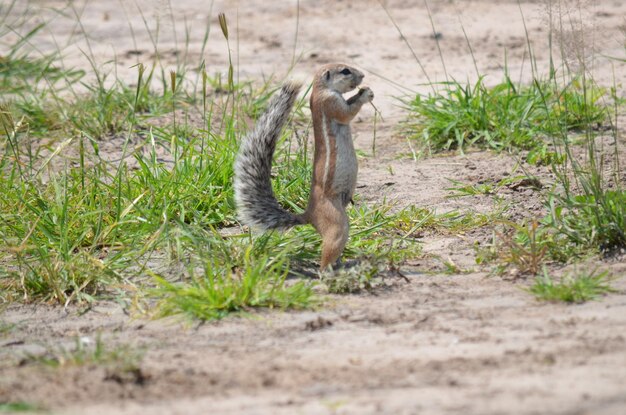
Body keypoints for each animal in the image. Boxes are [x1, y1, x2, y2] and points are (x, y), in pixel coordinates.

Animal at [233, 62, 370, 270]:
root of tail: (308, 214)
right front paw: (366, 94)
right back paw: (332, 271)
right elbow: (347, 113)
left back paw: (346, 265)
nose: (362, 76)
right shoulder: (330, 102)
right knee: (327, 254)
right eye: (345, 71)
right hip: (337, 223)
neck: (321, 89)